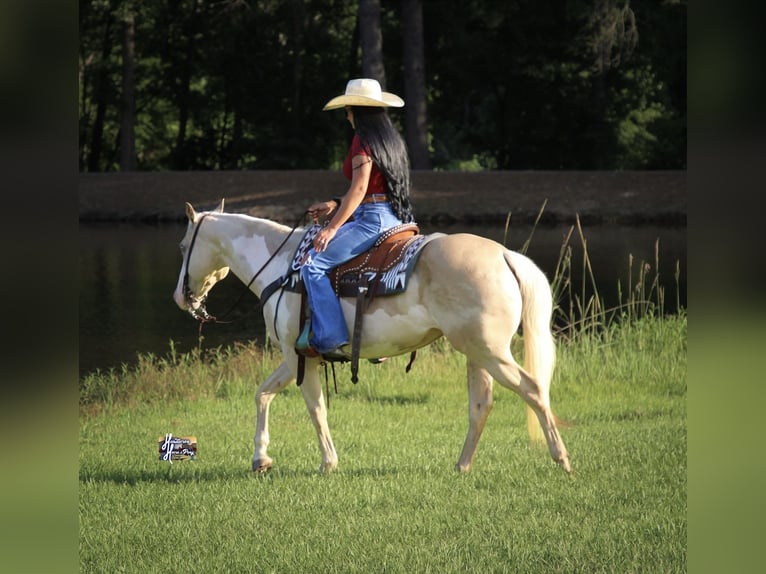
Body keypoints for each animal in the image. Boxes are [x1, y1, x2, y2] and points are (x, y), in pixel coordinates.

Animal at [173, 200, 571, 474]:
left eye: (183, 246)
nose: (181, 297)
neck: (284, 268)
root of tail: (504, 255)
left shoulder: (298, 355)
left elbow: (315, 408)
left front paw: (328, 463)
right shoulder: (294, 357)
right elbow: (263, 394)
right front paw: (260, 458)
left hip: (490, 351)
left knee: (533, 389)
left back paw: (561, 458)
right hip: (477, 353)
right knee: (481, 405)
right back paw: (462, 466)